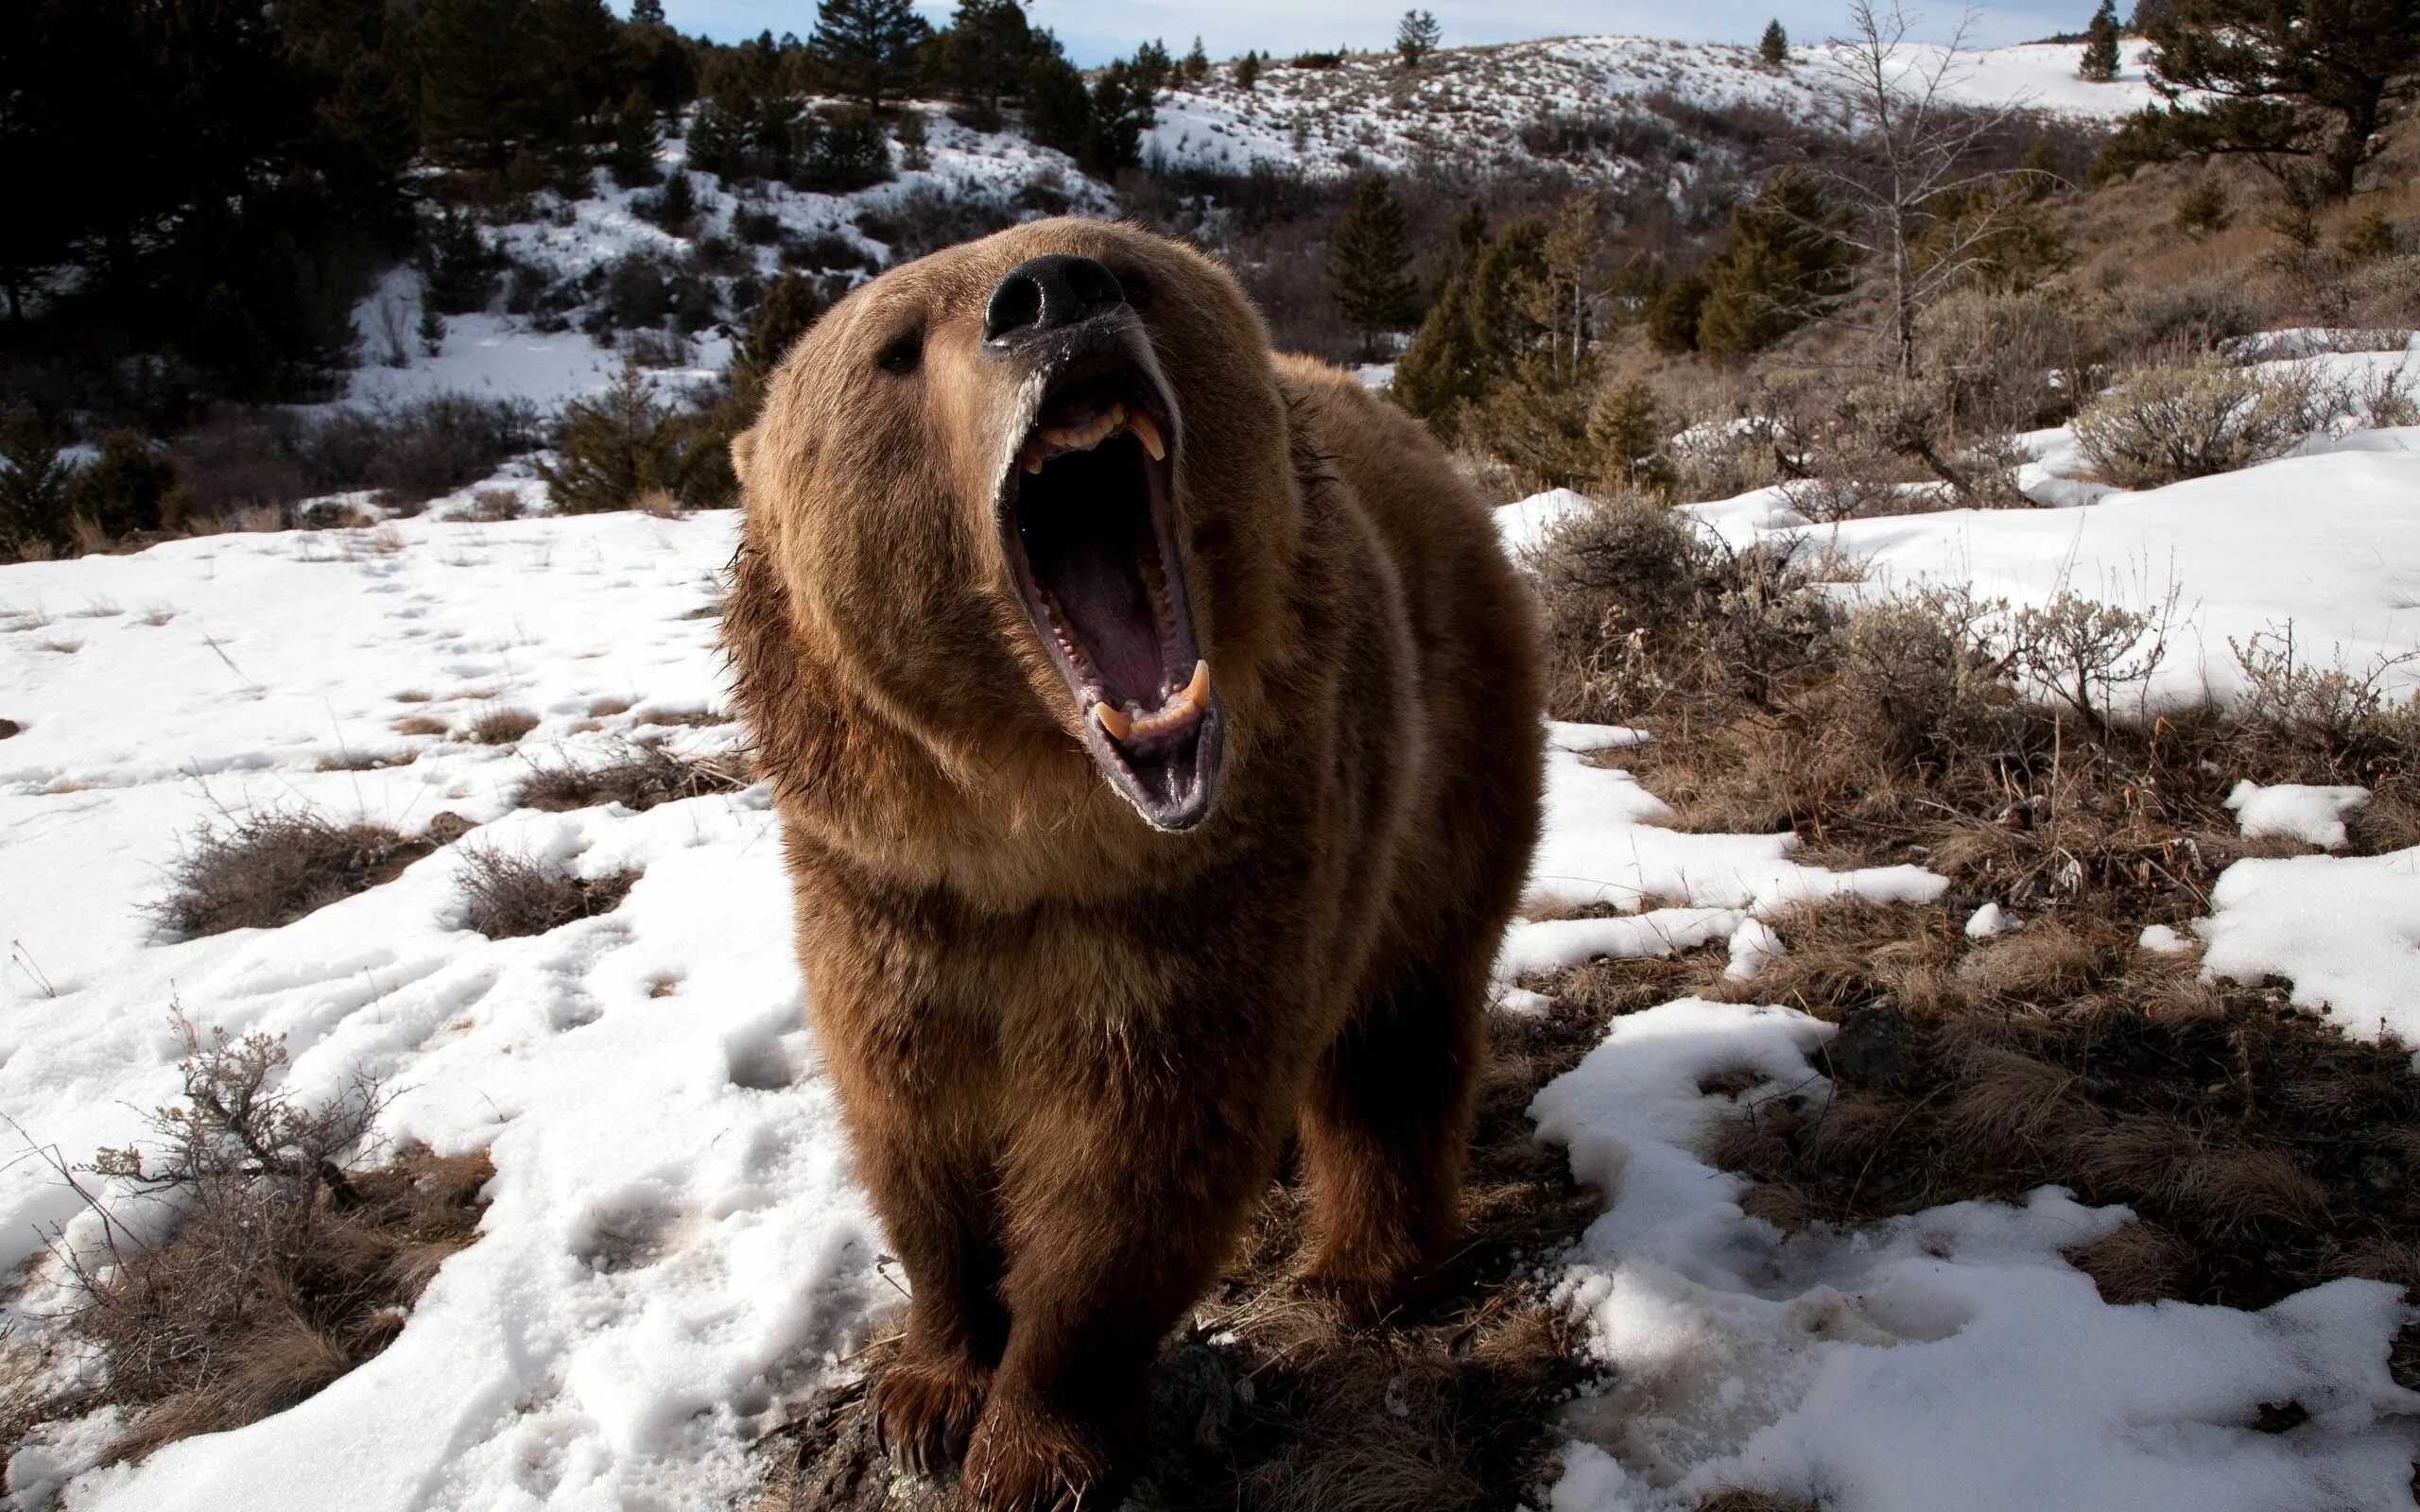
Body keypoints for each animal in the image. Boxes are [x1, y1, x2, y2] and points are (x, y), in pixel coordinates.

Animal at [723, 219, 1544, 1511]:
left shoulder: (1200, 889)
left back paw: (1361, 1268)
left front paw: (1031, 1444)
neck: (1032, 830)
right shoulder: (885, 891)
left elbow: (1134, 1161)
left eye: (1125, 266)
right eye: (893, 347)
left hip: (1446, 754)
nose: (1052, 295)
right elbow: (913, 1125)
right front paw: (928, 1389)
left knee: (1397, 1027)